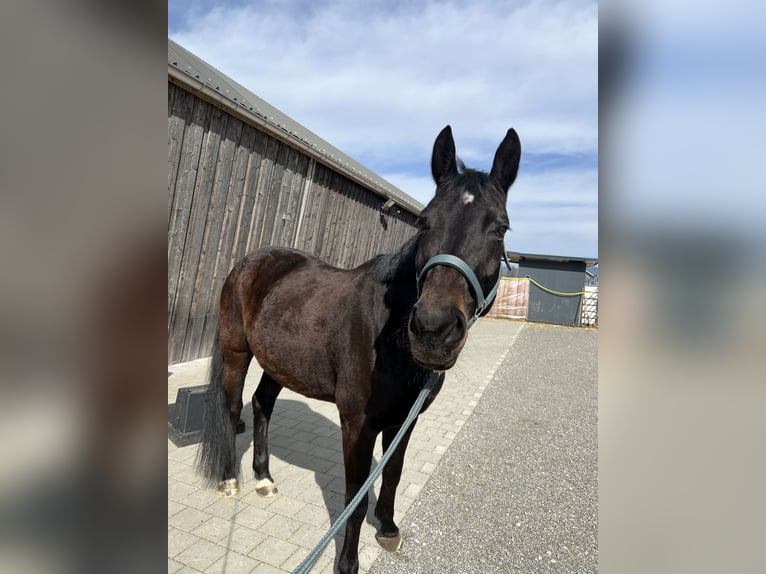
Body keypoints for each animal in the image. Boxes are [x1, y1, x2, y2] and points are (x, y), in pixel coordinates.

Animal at [196, 126, 520, 574]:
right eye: (424, 221)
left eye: (500, 228)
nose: (433, 329)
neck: (389, 338)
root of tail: (249, 262)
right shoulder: (357, 425)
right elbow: (354, 495)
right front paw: (347, 563)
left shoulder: (404, 420)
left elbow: (393, 474)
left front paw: (387, 528)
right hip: (236, 354)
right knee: (232, 410)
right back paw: (231, 480)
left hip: (279, 364)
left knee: (262, 405)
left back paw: (263, 478)